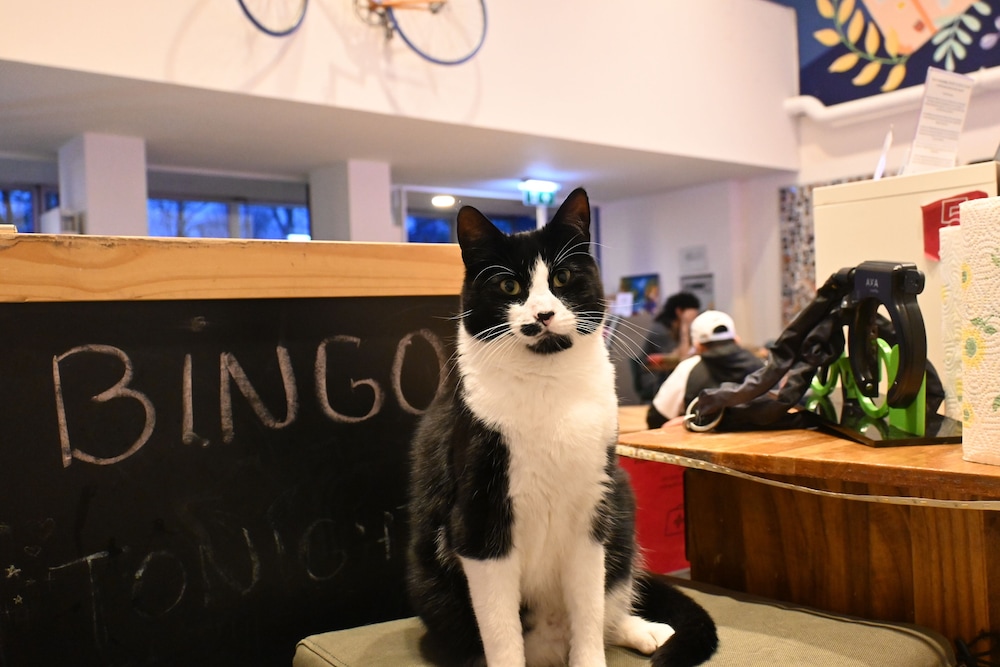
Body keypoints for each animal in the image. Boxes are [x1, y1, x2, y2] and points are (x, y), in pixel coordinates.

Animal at [406, 187, 718, 667]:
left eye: (563, 276)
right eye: (509, 286)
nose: (544, 314)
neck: (546, 382)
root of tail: (548, 651)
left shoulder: (591, 511)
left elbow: (588, 609)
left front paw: (591, 657)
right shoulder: (479, 517)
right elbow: (501, 632)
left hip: (620, 502)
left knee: (607, 607)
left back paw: (646, 630)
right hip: (430, 583)